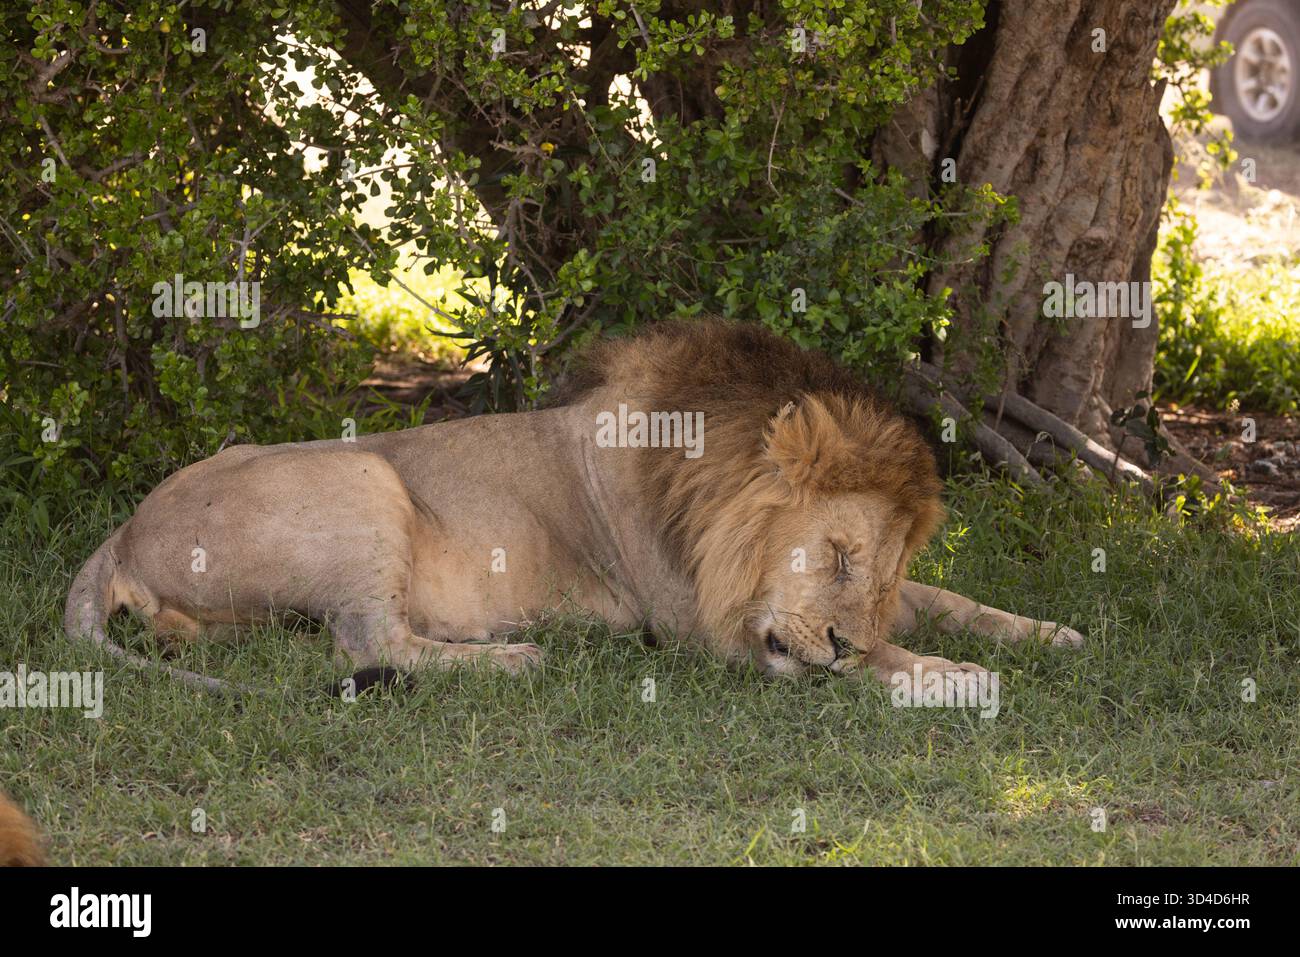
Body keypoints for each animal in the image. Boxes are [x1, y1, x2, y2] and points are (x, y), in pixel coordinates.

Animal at [65, 319, 1082, 691]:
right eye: (835, 553)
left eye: (882, 573)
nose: (841, 640)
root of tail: (118, 530)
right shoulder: (701, 624)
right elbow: (884, 660)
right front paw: (950, 674)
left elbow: (951, 602)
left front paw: (1047, 632)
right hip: (364, 479)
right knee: (367, 640)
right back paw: (513, 655)